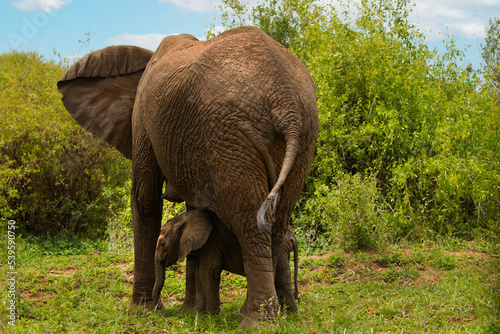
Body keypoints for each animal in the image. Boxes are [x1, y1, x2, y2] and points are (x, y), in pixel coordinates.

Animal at [152, 210, 298, 318]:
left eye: (163, 244)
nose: (160, 310)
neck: (184, 219)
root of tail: (293, 237)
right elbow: (200, 275)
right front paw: (198, 314)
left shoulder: (212, 242)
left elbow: (208, 272)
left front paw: (213, 318)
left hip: (281, 250)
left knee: (281, 279)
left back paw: (291, 315)